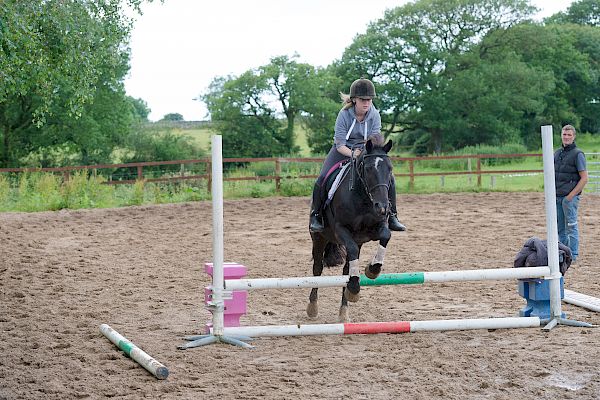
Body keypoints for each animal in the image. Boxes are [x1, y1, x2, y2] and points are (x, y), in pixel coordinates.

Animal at [308, 138, 396, 322]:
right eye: (368, 168)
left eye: (390, 168)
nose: (383, 207)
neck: (363, 198)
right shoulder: (341, 230)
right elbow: (351, 249)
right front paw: (355, 287)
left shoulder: (374, 228)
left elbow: (386, 235)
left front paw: (373, 269)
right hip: (319, 238)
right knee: (317, 268)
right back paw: (312, 307)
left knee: (346, 269)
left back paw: (344, 311)